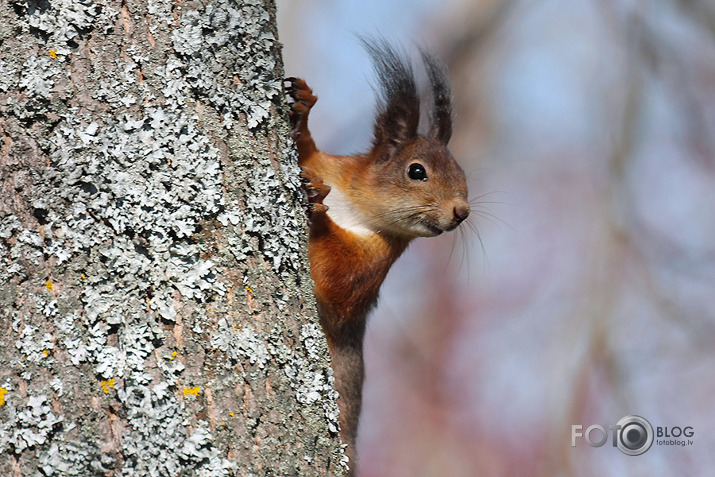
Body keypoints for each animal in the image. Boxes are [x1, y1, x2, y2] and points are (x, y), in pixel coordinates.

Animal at [286, 39, 470, 474]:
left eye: (462, 174)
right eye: (417, 171)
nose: (462, 211)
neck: (357, 204)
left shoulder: (378, 259)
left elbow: (339, 285)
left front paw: (319, 208)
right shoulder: (327, 166)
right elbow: (307, 154)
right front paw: (302, 107)